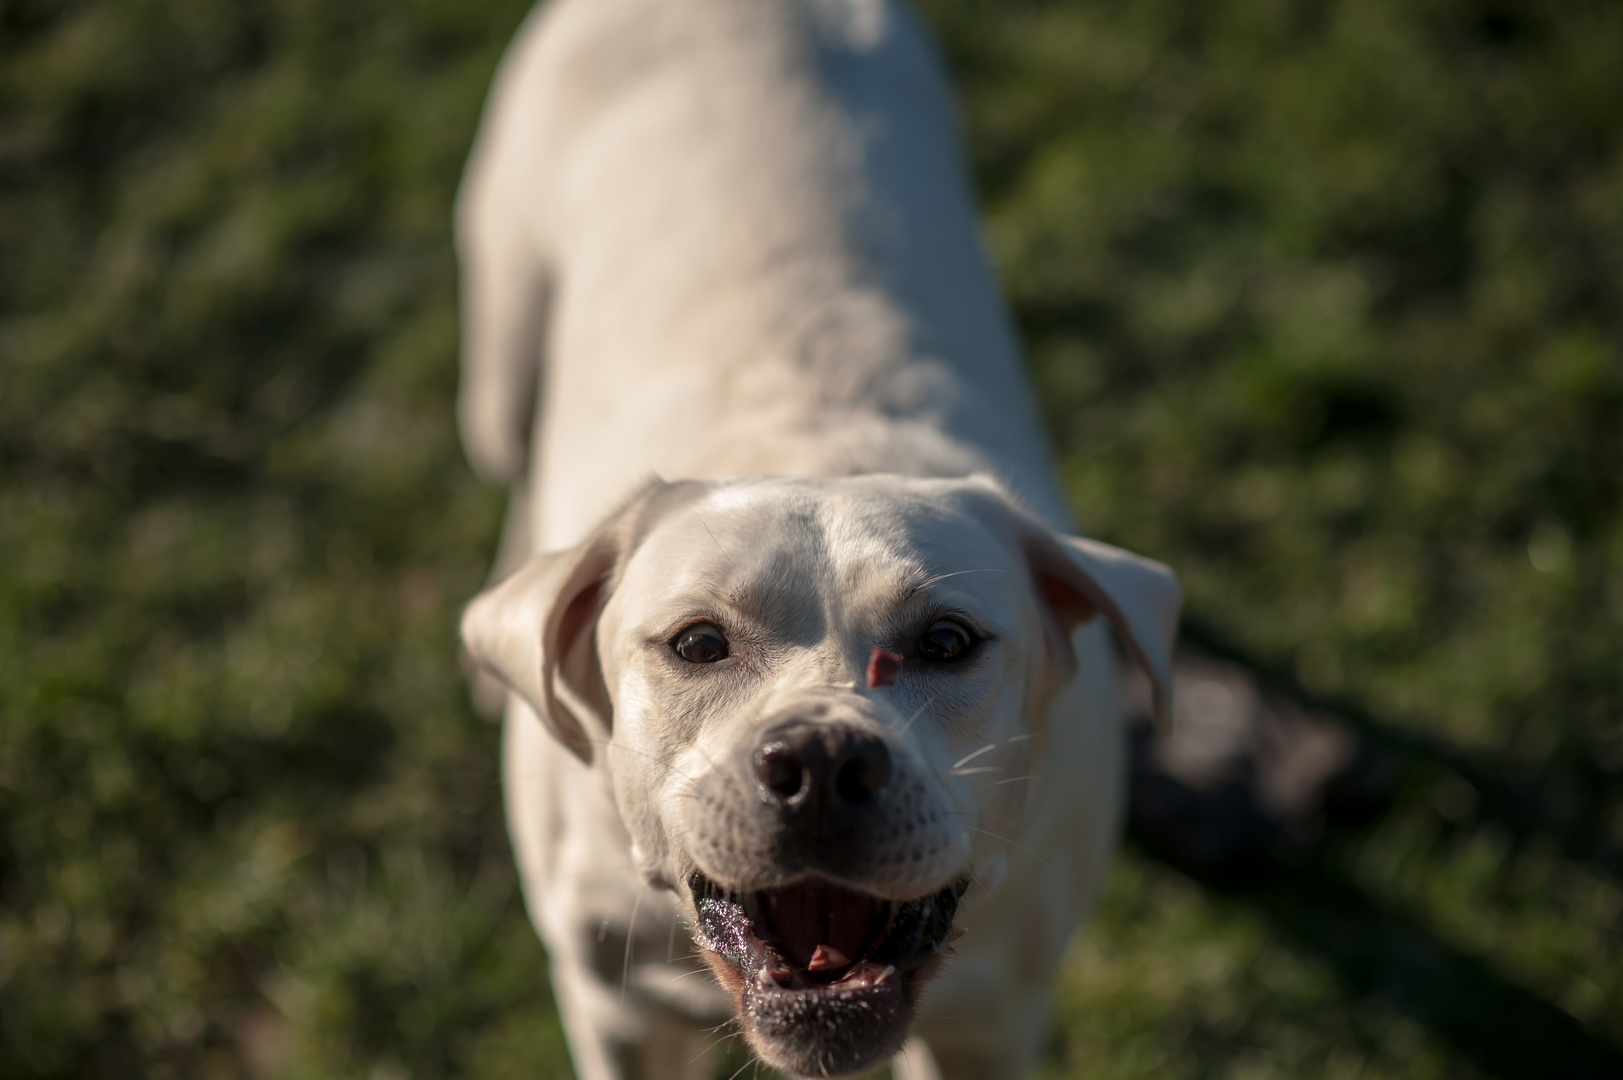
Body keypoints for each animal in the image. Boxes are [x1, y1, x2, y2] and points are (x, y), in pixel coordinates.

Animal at [457, 2, 1181, 1078]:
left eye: (948, 641)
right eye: (697, 643)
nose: (824, 764)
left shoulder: (994, 1017)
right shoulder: (617, 1010)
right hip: (503, 338)